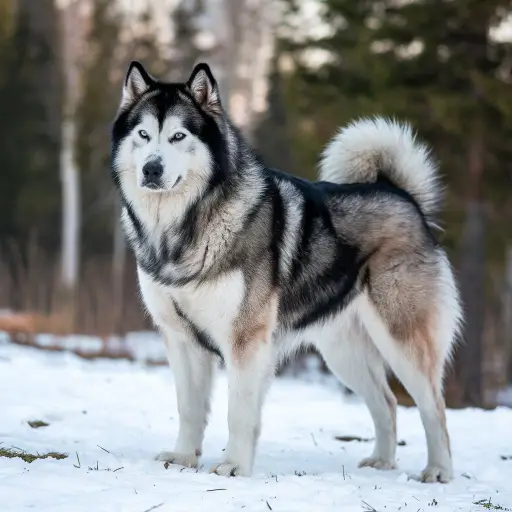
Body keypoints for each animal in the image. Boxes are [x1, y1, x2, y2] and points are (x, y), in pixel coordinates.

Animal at [110, 62, 462, 482]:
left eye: (178, 136)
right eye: (143, 135)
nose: (152, 168)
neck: (184, 227)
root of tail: (404, 197)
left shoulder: (245, 340)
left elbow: (239, 411)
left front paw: (233, 466)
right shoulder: (180, 338)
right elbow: (189, 407)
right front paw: (182, 458)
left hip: (402, 340)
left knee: (433, 408)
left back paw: (439, 471)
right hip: (342, 351)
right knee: (387, 402)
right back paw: (382, 462)